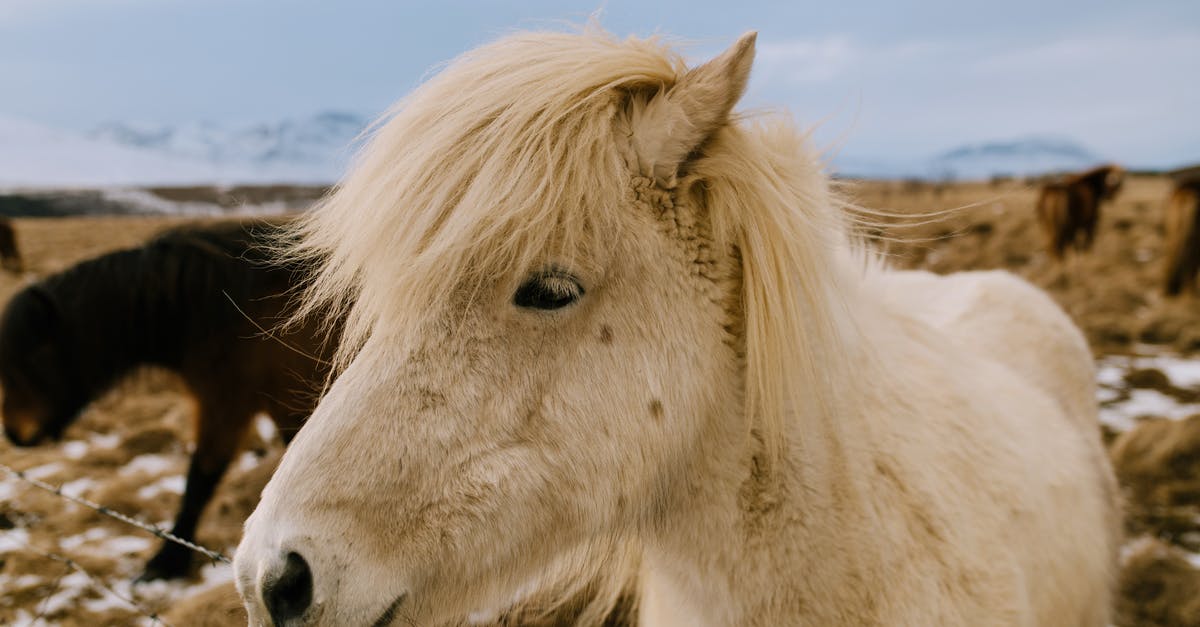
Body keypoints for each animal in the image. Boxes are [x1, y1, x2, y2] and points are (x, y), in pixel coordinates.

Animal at [0, 218, 338, 576]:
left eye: (33, 356)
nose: (14, 432)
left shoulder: (227, 405)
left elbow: (199, 480)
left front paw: (167, 560)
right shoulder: (272, 407)